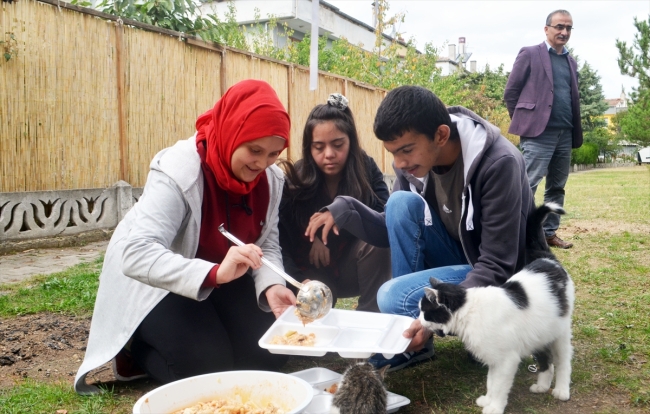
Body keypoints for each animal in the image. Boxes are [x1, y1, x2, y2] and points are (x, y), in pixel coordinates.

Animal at [418, 204, 568, 414]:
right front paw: (488, 400)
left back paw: (562, 390)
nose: (417, 320)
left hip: (560, 332)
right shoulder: (493, 358)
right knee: (547, 361)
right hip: (539, 334)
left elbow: (499, 385)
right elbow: (491, 381)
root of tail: (548, 260)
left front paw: (495, 406)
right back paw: (542, 385)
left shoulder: (506, 360)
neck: (469, 311)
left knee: (563, 362)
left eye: (425, 312)